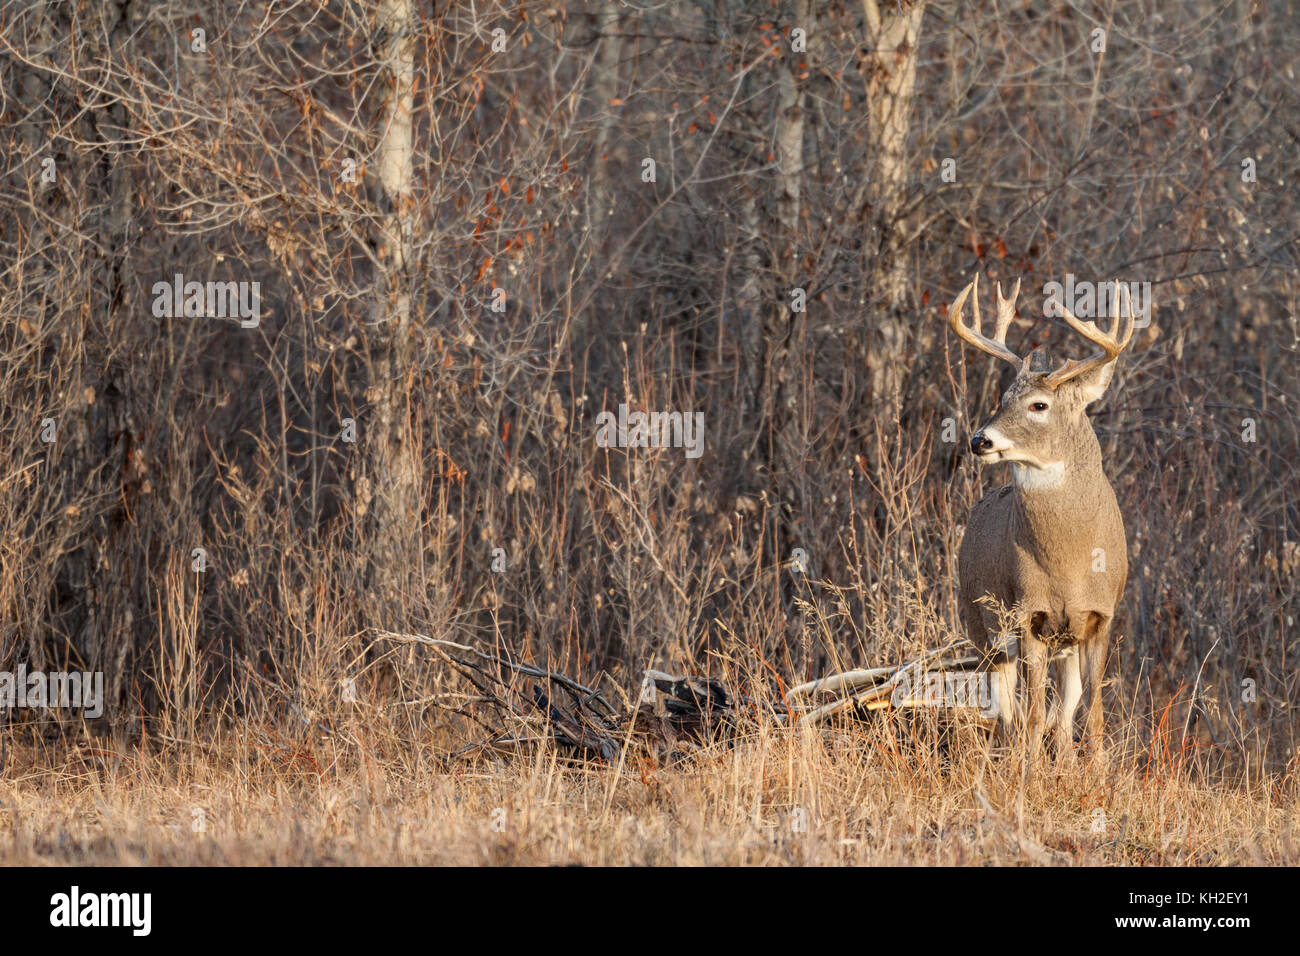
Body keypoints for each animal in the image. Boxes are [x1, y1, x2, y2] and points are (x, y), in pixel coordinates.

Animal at [951, 274, 1133, 764]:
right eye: (1001, 398)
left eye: (1038, 405)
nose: (979, 440)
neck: (1069, 566)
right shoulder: (1026, 613)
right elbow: (1031, 717)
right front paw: (1029, 774)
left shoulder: (1100, 616)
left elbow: (1093, 717)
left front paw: (1095, 774)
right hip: (981, 626)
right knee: (1007, 713)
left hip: (1061, 644)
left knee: (1064, 713)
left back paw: (1065, 762)